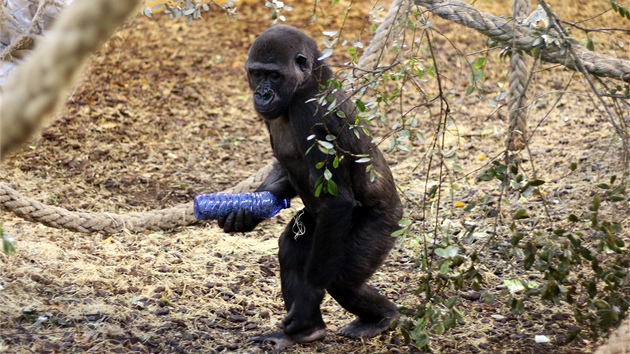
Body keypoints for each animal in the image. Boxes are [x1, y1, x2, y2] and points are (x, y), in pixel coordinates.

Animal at [220, 25, 402, 352]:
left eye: (274, 76)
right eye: (256, 74)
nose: (262, 93)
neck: (308, 83)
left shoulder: (314, 116)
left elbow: (337, 203)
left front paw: (305, 307)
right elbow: (282, 171)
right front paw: (245, 212)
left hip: (385, 224)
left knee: (343, 281)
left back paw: (379, 318)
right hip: (314, 227)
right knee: (293, 249)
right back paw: (309, 331)